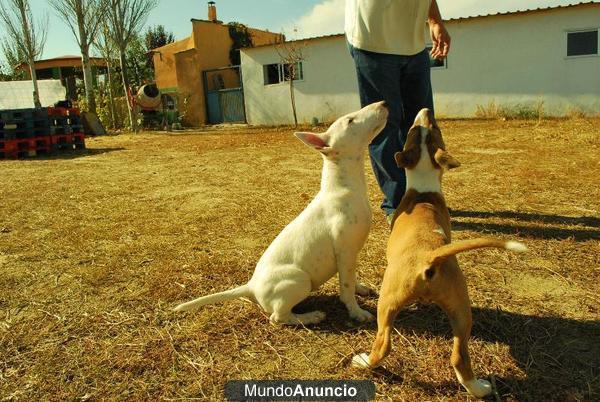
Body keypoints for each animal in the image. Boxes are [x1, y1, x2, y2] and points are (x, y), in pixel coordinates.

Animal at [175, 102, 390, 326]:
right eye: (350, 120)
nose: (383, 103)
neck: (344, 187)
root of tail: (251, 286)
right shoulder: (345, 251)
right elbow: (346, 288)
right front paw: (357, 312)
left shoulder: (350, 255)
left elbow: (351, 279)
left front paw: (361, 289)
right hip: (300, 280)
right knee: (277, 318)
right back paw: (312, 316)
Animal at [352, 108, 524, 398]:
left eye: (419, 128)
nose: (425, 111)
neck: (423, 188)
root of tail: (429, 256)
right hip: (461, 309)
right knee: (460, 357)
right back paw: (479, 388)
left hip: (386, 303)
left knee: (384, 345)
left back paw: (363, 361)